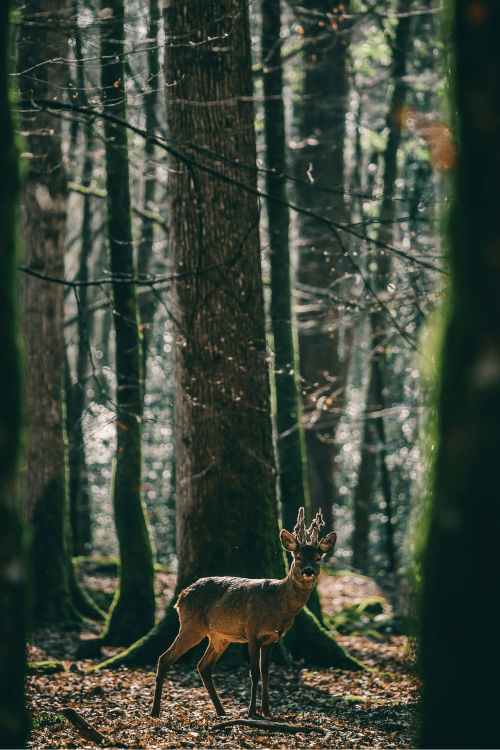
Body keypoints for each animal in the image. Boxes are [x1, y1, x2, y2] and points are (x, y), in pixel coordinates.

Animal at [150, 507, 336, 720]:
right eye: (297, 557)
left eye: (318, 558)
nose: (308, 571)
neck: (279, 604)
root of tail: (180, 596)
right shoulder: (252, 631)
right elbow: (254, 672)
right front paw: (252, 712)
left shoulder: (272, 638)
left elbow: (266, 672)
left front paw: (266, 711)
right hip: (192, 625)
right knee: (164, 658)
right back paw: (155, 711)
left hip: (219, 636)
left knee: (203, 666)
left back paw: (222, 712)